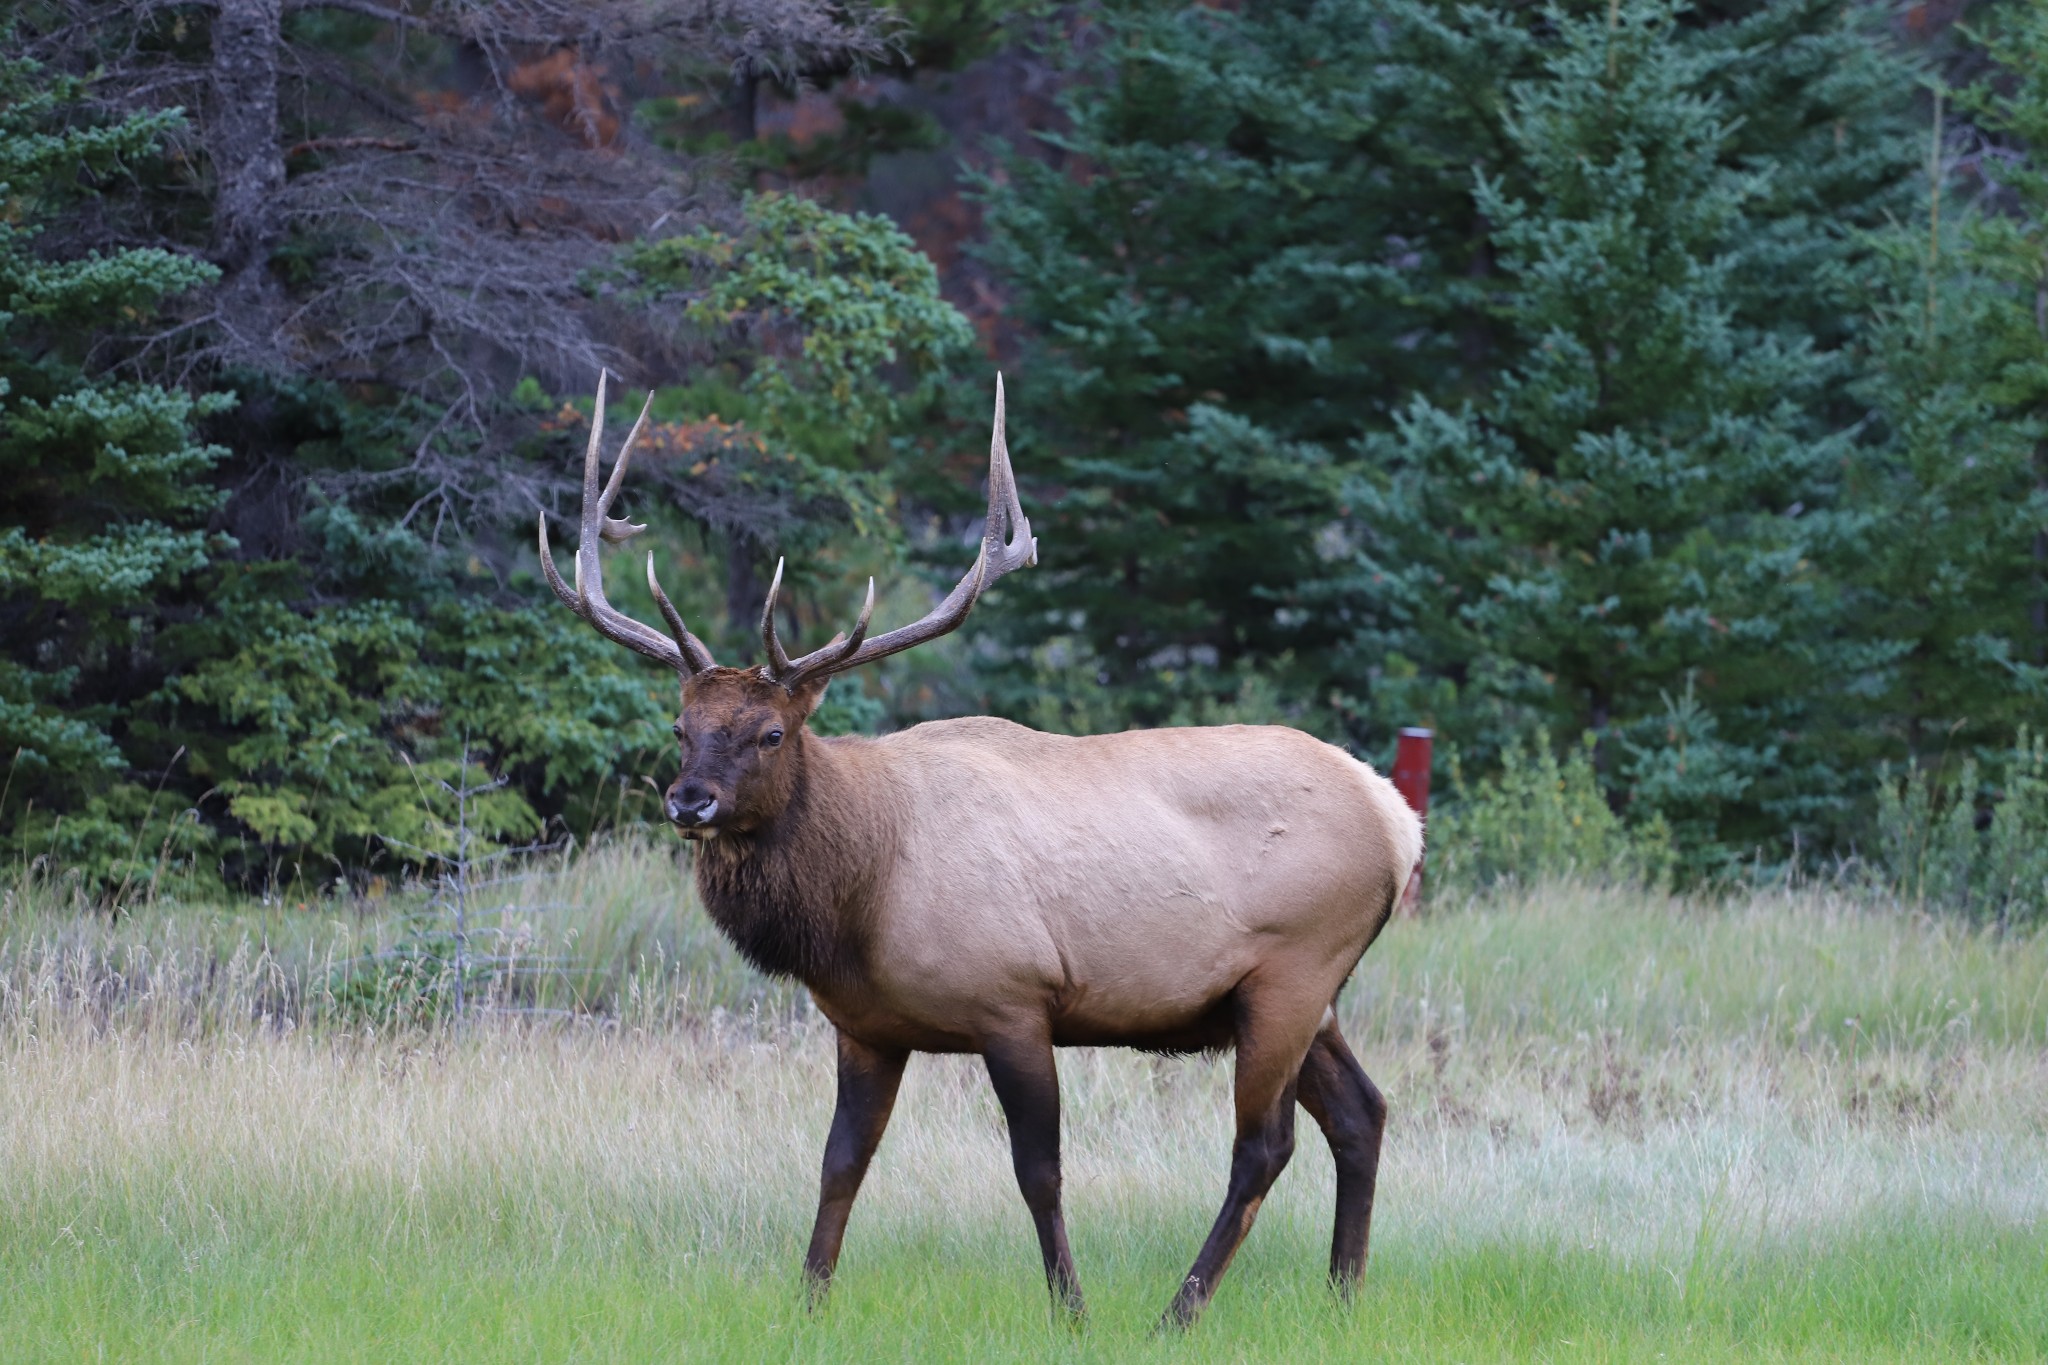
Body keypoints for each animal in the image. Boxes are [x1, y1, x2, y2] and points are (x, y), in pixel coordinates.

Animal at [536, 368, 1417, 1326]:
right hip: (1304, 995)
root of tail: (1399, 819)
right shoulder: (866, 1028)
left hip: (1293, 970)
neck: (860, 896)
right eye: (681, 725)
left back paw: (1177, 1312)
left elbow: (1040, 1172)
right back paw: (1343, 1294)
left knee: (1264, 1144)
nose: (688, 798)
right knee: (1362, 1113)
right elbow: (839, 1164)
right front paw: (808, 1301)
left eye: (770, 733)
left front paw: (1072, 1309)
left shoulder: (1014, 999)